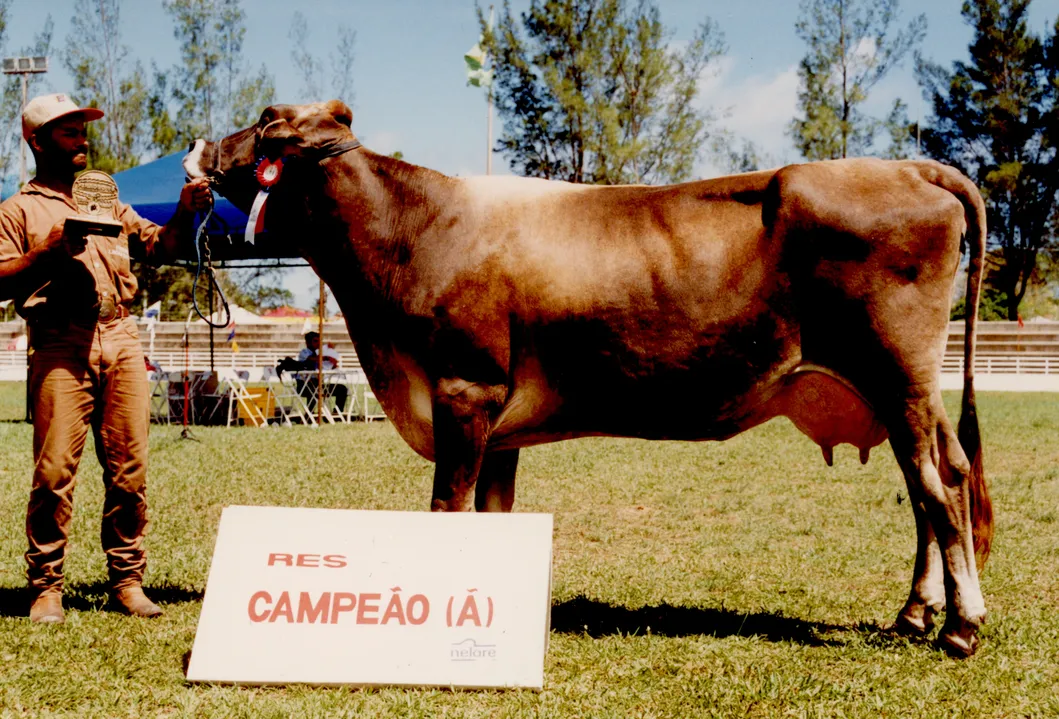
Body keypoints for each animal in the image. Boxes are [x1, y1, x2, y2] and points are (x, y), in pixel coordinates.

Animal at [184, 101, 991, 656]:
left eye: (265, 122)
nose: (195, 149)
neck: (416, 232)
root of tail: (907, 166)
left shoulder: (462, 391)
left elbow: (448, 507)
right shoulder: (498, 423)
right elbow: (493, 513)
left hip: (898, 372)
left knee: (939, 487)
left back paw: (961, 626)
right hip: (903, 390)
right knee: (936, 481)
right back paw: (915, 613)